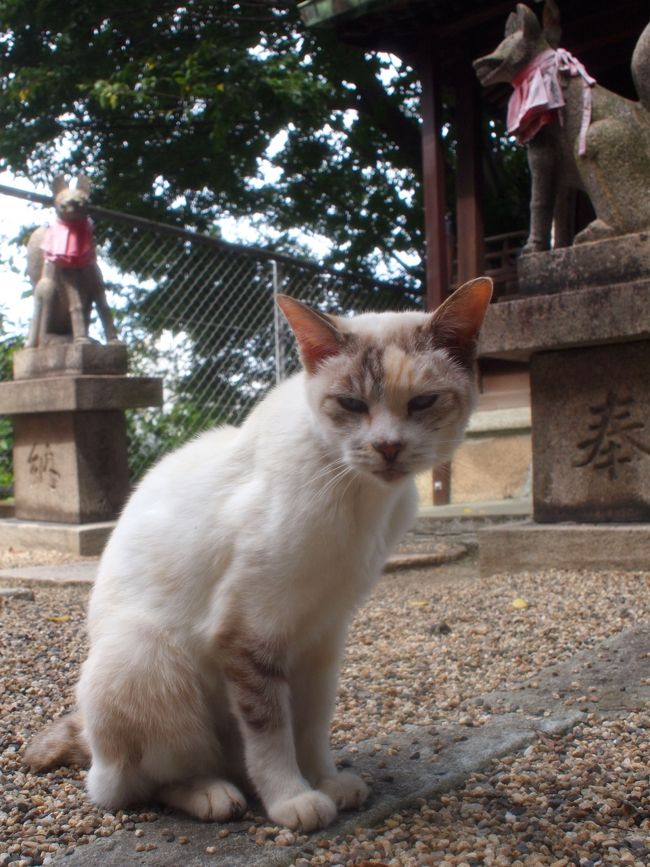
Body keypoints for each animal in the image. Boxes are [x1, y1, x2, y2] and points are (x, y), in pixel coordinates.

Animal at [25, 278, 492, 836]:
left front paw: (326, 781)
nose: (388, 448)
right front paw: (294, 799)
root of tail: (93, 752)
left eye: (422, 402)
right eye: (351, 404)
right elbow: (271, 733)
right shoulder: (250, 636)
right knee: (136, 785)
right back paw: (213, 794)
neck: (357, 498)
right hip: (146, 660)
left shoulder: (323, 635)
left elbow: (311, 725)